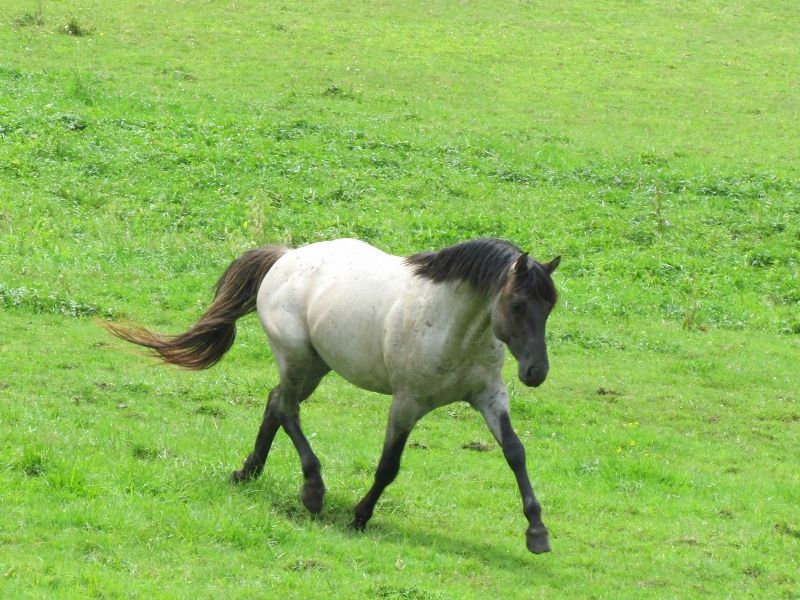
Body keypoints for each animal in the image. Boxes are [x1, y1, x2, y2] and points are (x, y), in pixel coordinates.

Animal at [104, 238, 561, 554]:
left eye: (550, 307)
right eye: (518, 305)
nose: (536, 373)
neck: (451, 324)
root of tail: (285, 257)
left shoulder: (489, 396)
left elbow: (515, 452)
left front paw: (537, 532)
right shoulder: (407, 402)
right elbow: (388, 466)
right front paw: (360, 516)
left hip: (315, 366)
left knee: (275, 404)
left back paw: (248, 472)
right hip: (296, 359)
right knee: (286, 409)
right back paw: (312, 490)